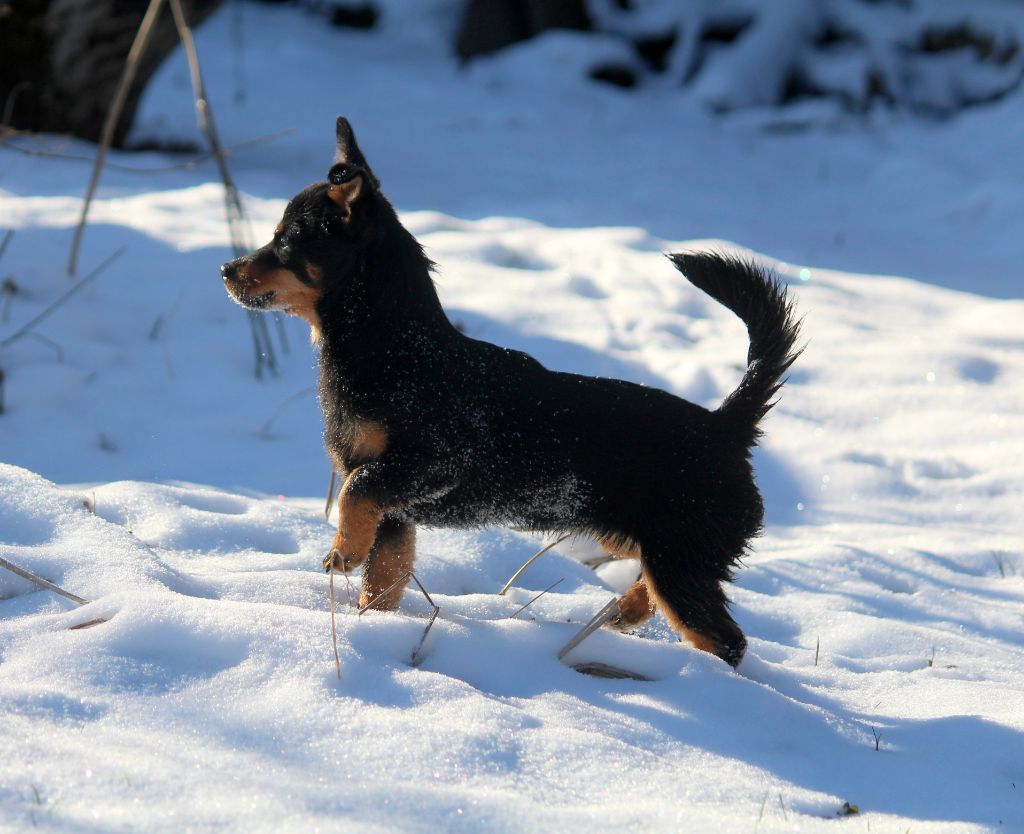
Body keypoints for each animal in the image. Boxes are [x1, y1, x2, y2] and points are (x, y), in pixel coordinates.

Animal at [222, 117, 798, 668]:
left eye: (285, 243)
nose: (226, 269)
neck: (396, 348)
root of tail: (727, 426)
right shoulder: (397, 514)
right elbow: (382, 580)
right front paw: (373, 626)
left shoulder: (433, 462)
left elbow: (355, 489)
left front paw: (342, 551)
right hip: (646, 545)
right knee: (661, 599)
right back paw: (622, 616)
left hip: (681, 558)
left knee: (723, 640)